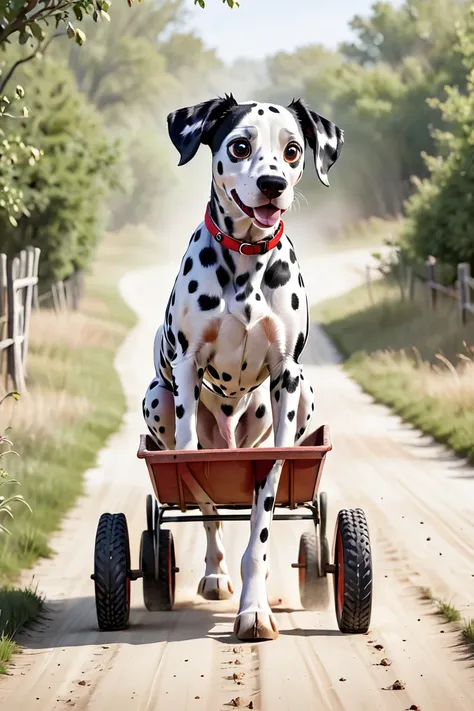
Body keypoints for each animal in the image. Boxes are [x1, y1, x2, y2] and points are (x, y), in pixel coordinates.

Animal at [143, 94, 342, 640]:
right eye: (239, 145)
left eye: (293, 149)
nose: (273, 183)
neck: (247, 264)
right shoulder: (186, 368)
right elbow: (198, 492)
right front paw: (222, 577)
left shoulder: (286, 377)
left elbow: (260, 530)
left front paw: (255, 609)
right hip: (157, 399)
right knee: (204, 510)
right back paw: (213, 573)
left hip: (302, 394)